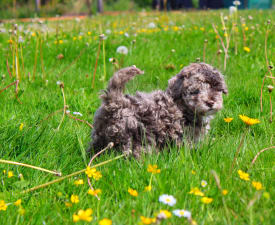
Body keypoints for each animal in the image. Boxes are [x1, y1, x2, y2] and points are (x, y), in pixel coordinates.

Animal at [88, 62, 229, 158]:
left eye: (216, 88)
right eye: (195, 91)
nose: (210, 102)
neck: (182, 106)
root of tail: (115, 102)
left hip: (100, 134)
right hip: (134, 137)